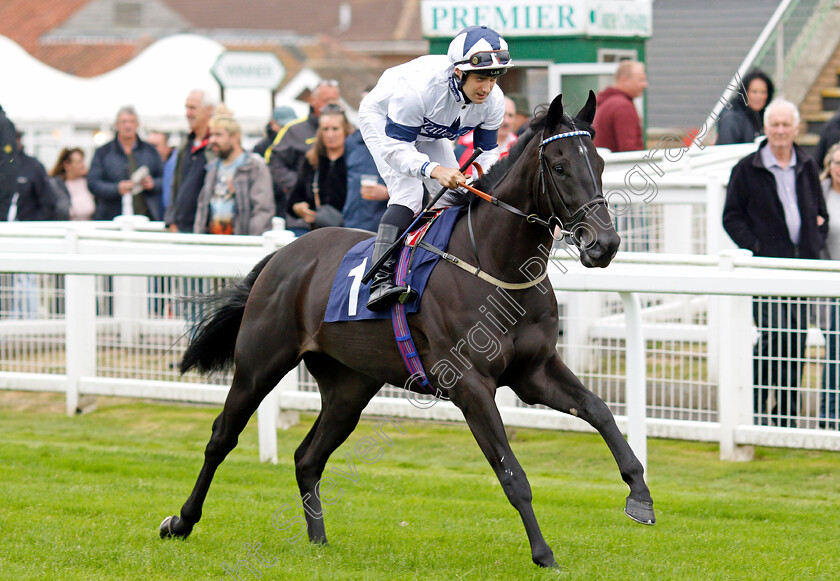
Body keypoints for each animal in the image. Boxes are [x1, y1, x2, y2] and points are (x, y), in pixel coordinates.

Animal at [159, 92, 656, 568]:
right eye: (559, 167)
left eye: (600, 165)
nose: (605, 244)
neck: (495, 266)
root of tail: (284, 254)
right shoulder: (471, 384)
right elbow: (512, 473)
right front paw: (543, 553)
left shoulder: (533, 371)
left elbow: (599, 410)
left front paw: (640, 496)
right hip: (260, 363)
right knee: (222, 437)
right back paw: (180, 521)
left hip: (349, 386)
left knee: (307, 457)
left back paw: (317, 540)